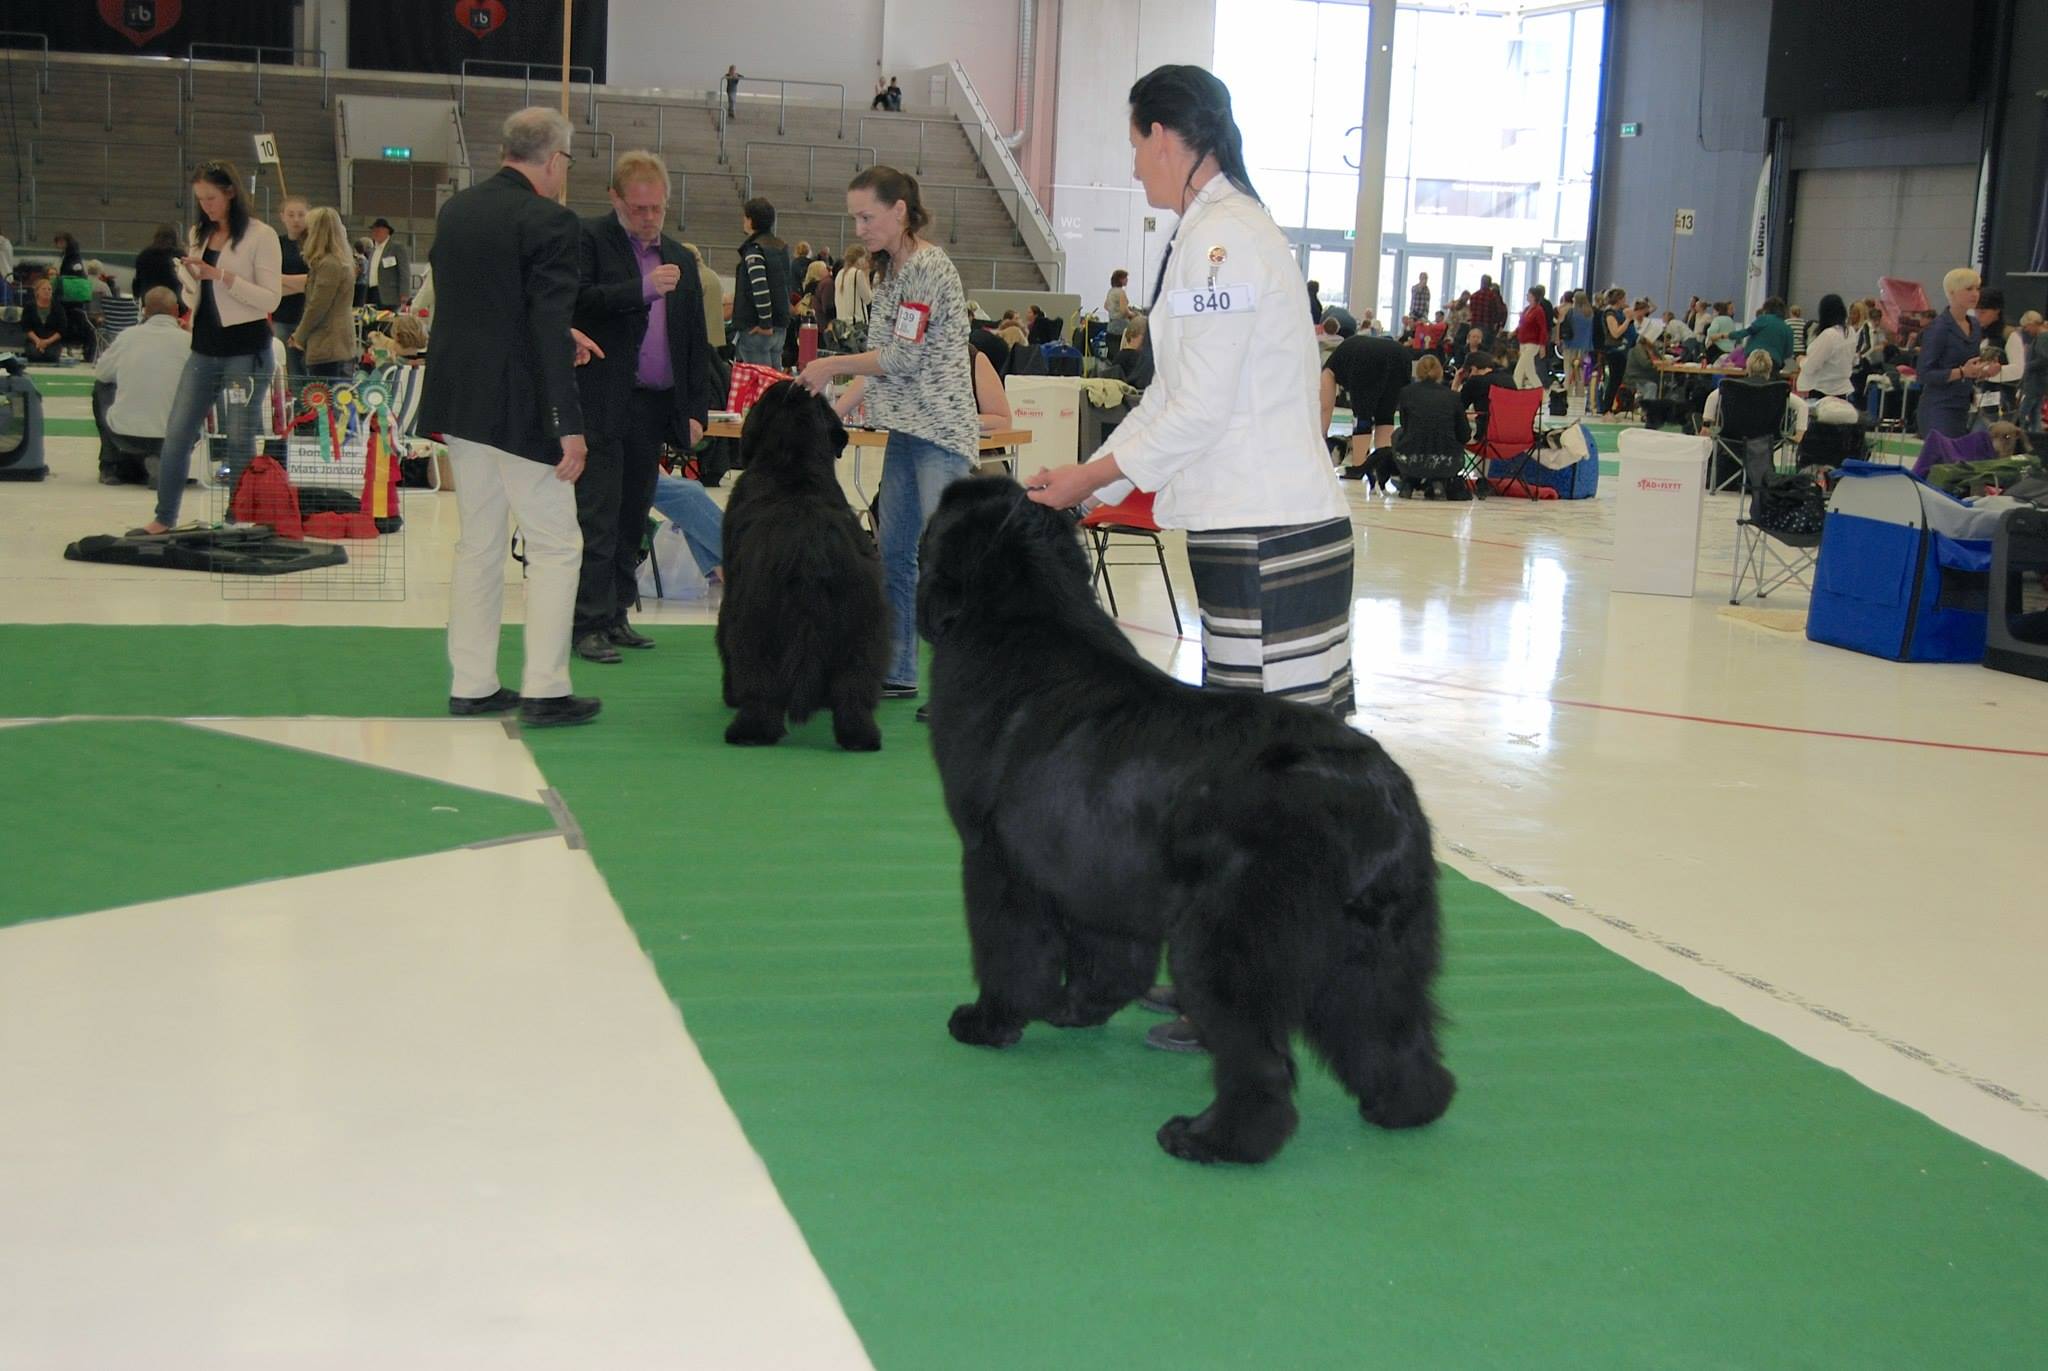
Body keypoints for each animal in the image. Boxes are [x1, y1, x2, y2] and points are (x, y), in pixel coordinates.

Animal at [714, 381, 888, 750]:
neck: (794, 465)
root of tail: (811, 552)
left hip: (755, 622)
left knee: (759, 684)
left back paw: (748, 730)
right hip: (863, 625)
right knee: (854, 686)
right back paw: (860, 736)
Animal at [916, 477, 1454, 1164]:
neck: (1021, 618)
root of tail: (1371, 791)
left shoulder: (995, 861)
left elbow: (1008, 952)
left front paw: (988, 1022)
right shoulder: (1095, 866)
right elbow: (1108, 958)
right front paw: (1075, 1009)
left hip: (1229, 943)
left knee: (1261, 1064)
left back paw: (1210, 1139)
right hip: (1379, 949)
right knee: (1393, 1034)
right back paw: (1400, 1108)